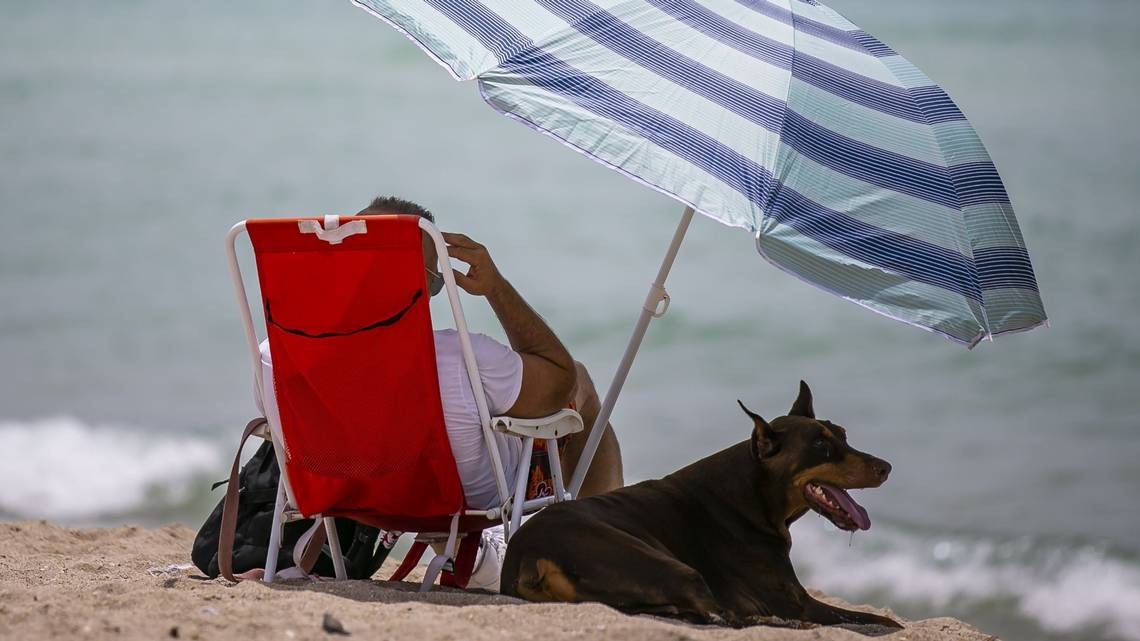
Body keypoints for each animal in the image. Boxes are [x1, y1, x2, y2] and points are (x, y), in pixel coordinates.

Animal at [503, 376, 902, 625]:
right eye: (820, 445)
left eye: (843, 435)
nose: (886, 467)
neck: (753, 495)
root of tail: (528, 554)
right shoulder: (797, 602)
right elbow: (878, 620)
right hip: (664, 564)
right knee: (721, 615)